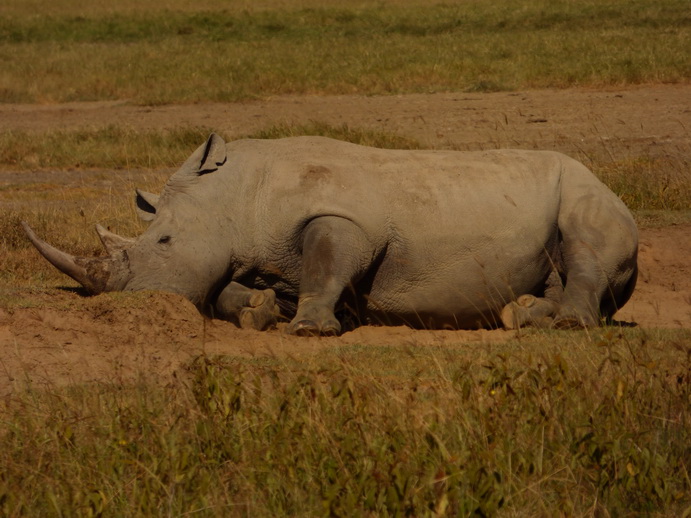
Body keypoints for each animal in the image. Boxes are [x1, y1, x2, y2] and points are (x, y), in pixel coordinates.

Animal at [23, 134, 638, 335]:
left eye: (165, 244)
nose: (130, 304)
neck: (236, 194)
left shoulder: (347, 219)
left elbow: (328, 265)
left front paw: (308, 330)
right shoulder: (248, 250)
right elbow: (226, 291)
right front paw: (260, 313)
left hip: (589, 192)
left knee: (587, 244)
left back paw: (568, 325)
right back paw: (524, 315)